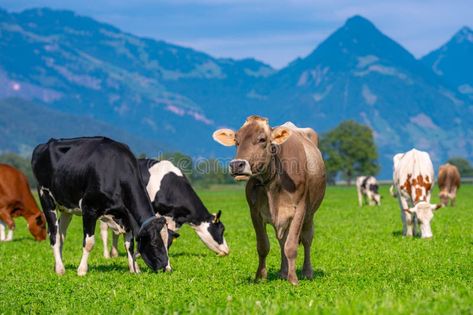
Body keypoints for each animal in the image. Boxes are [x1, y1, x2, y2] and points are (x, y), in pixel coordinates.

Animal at [30, 137, 170, 276]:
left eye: (168, 242)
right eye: (155, 243)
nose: (167, 268)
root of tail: (45, 144)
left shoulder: (127, 216)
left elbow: (129, 244)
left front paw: (134, 269)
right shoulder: (89, 208)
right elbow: (89, 243)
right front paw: (82, 270)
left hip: (66, 207)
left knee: (61, 234)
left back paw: (57, 265)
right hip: (46, 198)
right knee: (54, 234)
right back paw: (60, 269)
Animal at [213, 116, 324, 286]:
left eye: (262, 139)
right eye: (236, 140)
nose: (237, 165)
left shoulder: (300, 209)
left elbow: (291, 246)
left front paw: (294, 280)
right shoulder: (255, 212)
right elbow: (263, 246)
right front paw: (261, 277)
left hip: (310, 214)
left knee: (306, 239)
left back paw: (306, 272)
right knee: (281, 240)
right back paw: (283, 272)